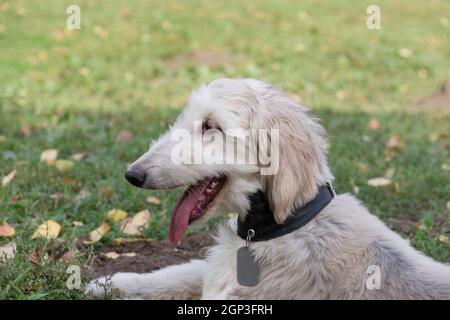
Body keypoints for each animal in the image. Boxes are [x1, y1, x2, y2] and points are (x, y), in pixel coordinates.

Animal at [86, 78, 448, 300]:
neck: (282, 225)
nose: (132, 174)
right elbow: (180, 272)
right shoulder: (212, 272)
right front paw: (111, 283)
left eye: (210, 126)